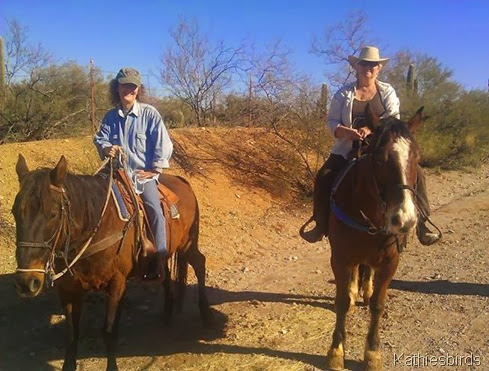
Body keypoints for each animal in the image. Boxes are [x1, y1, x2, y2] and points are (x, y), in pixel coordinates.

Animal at [12, 155, 212, 370]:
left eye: (53, 214)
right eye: (15, 212)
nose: (27, 282)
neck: (95, 228)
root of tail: (183, 182)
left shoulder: (117, 283)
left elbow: (109, 331)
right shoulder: (68, 289)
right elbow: (72, 334)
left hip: (187, 244)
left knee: (200, 263)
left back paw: (206, 314)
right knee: (165, 273)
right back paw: (167, 313)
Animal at [324, 106, 424, 370]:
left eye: (417, 158)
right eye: (379, 159)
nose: (404, 219)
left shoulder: (390, 261)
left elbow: (379, 305)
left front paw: (372, 353)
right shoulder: (340, 258)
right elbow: (341, 302)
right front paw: (336, 351)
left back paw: (366, 291)